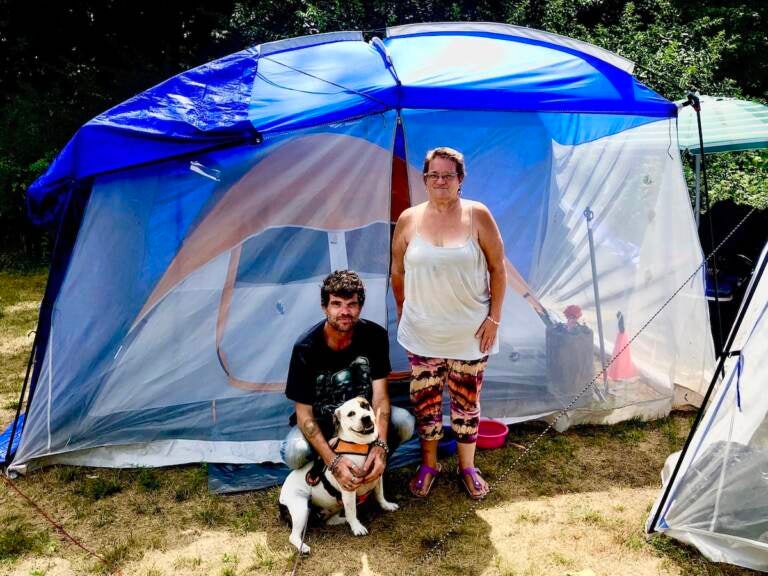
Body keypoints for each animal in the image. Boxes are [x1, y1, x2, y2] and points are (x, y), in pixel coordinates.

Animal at [280, 396, 400, 552]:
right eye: (351, 414)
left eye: (365, 405)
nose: (366, 418)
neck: (363, 445)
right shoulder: (348, 488)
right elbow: (351, 509)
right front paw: (357, 527)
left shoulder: (377, 476)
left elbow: (380, 495)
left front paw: (387, 505)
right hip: (301, 509)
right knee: (293, 535)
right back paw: (303, 547)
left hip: (331, 508)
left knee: (332, 520)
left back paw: (345, 520)